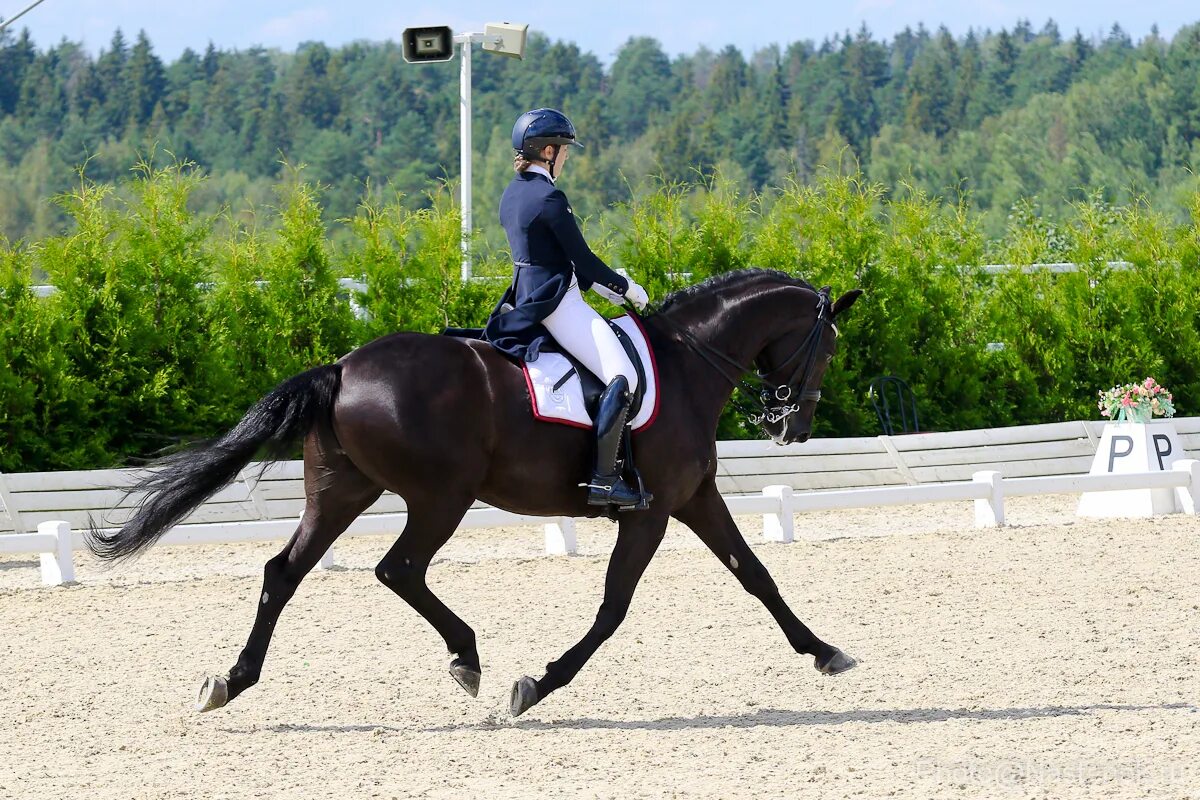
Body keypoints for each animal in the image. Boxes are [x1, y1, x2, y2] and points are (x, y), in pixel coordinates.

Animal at [88, 268, 868, 719]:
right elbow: (613, 608)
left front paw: (825, 651)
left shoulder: (694, 496)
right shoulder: (650, 513)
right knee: (398, 568)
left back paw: (232, 680)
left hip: (341, 491)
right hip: (442, 496)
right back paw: (466, 657)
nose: (792, 426)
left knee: (284, 572)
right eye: (827, 347)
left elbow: (755, 574)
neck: (685, 362)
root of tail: (341, 367)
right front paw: (537, 685)